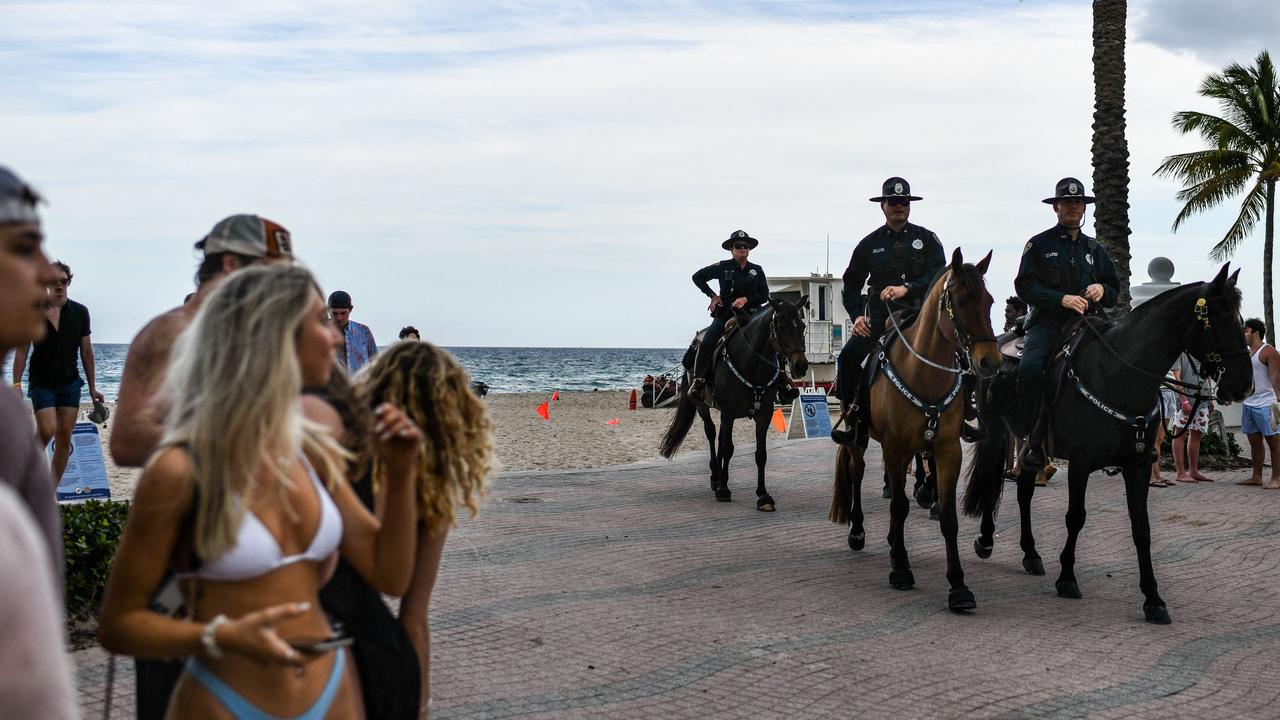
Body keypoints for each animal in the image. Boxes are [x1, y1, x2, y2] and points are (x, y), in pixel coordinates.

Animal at [660, 294, 808, 507]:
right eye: (780, 326)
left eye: (802, 325)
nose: (800, 366)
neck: (752, 364)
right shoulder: (729, 413)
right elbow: (728, 448)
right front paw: (723, 489)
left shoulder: (764, 415)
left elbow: (760, 454)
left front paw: (763, 495)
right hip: (701, 404)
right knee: (712, 433)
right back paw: (716, 477)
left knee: (721, 439)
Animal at [824, 248, 1003, 609]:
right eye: (960, 300)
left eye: (989, 300)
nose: (989, 361)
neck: (923, 373)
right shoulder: (895, 448)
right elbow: (899, 505)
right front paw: (901, 569)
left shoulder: (947, 449)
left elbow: (947, 517)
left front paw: (958, 586)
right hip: (859, 438)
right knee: (857, 472)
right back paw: (858, 531)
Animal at [962, 265, 1249, 622]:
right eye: (1221, 315)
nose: (1244, 384)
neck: (1118, 375)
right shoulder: (1081, 463)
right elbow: (1075, 517)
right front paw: (1067, 578)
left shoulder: (1138, 465)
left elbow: (1142, 529)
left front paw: (1153, 598)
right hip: (997, 431)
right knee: (991, 481)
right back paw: (987, 539)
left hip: (1030, 444)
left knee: (1025, 491)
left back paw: (1031, 553)